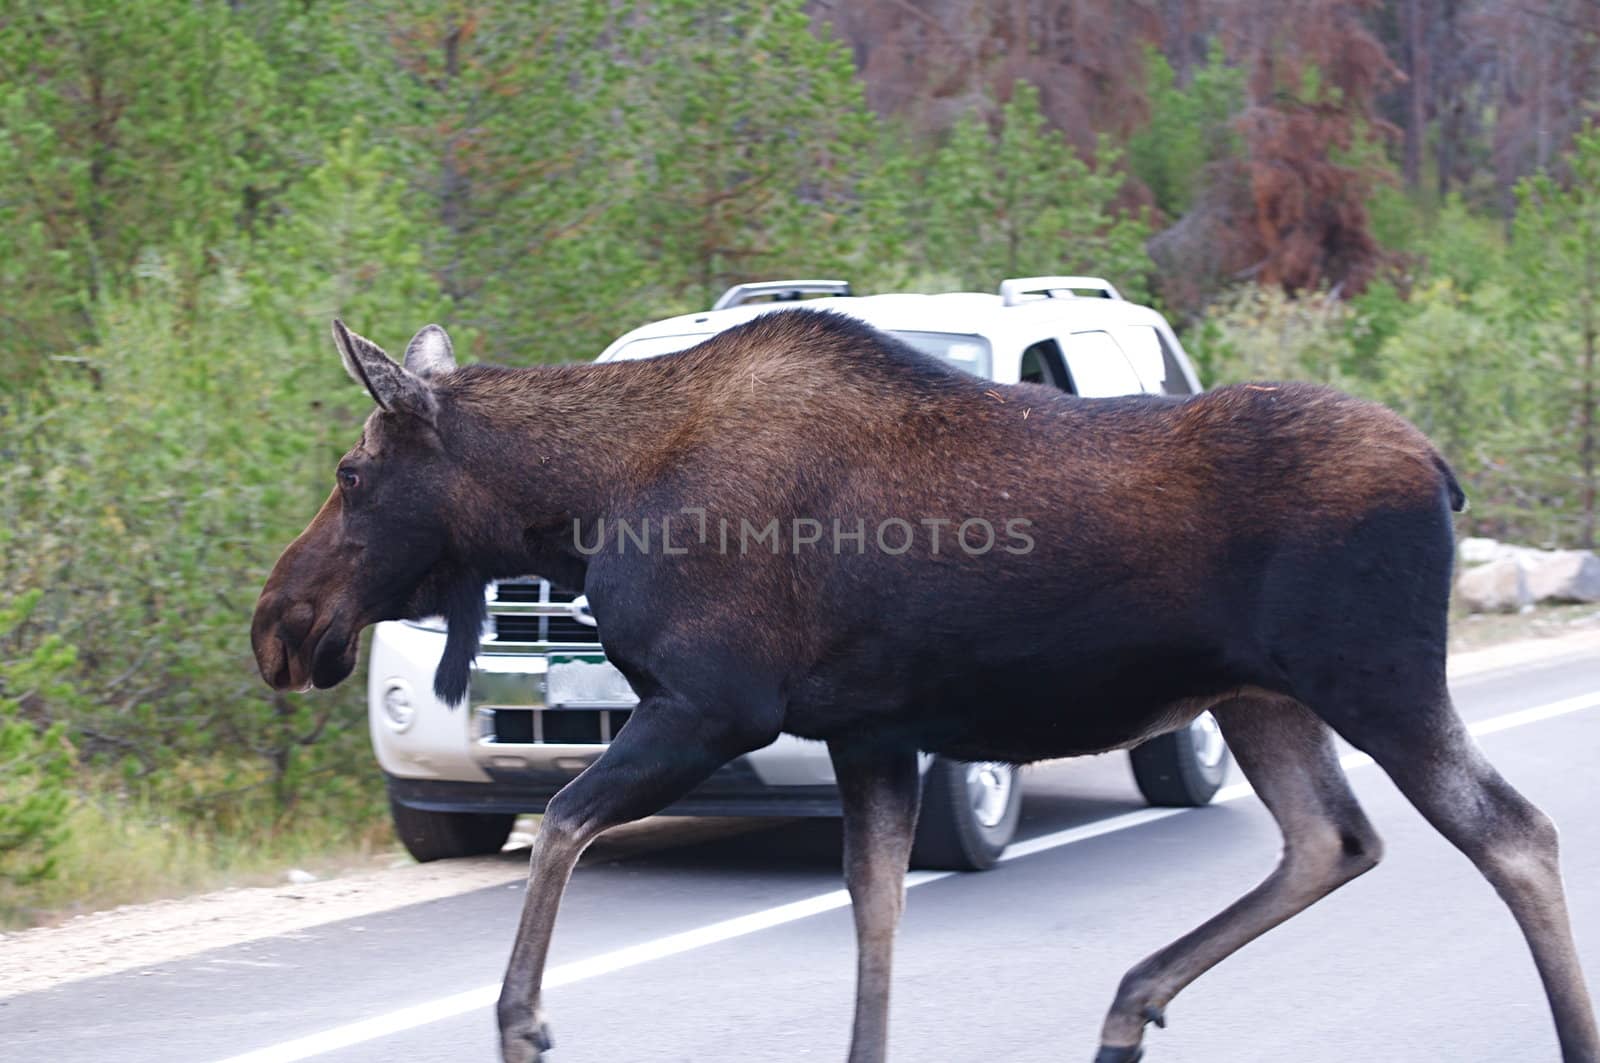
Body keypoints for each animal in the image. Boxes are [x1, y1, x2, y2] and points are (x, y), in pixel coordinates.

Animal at [256, 312, 1593, 1056]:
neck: (581, 506)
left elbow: (564, 823)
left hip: (1373, 680)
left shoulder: (711, 704)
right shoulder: (868, 734)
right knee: (1333, 838)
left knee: (1512, 832)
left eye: (350, 471)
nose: (280, 624)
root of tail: (1443, 469)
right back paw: (1129, 1003)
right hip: (1260, 697)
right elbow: (877, 912)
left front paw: (522, 1022)